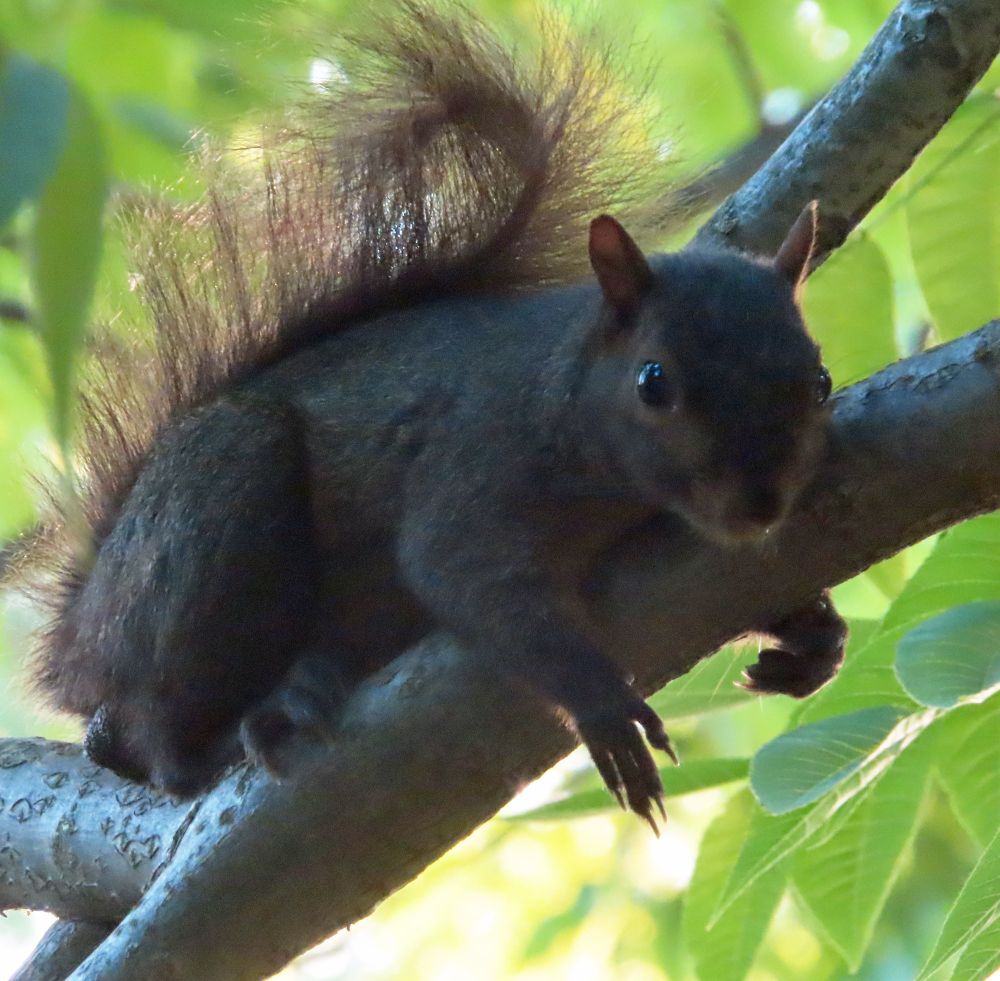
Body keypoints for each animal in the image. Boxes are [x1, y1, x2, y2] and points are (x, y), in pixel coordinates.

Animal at [7, 1, 846, 829]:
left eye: (821, 380)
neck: (563, 390)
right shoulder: (475, 459)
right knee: (149, 737)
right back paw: (230, 731)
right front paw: (605, 706)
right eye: (653, 381)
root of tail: (81, 633)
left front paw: (813, 633)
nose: (759, 502)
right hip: (215, 499)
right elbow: (468, 579)